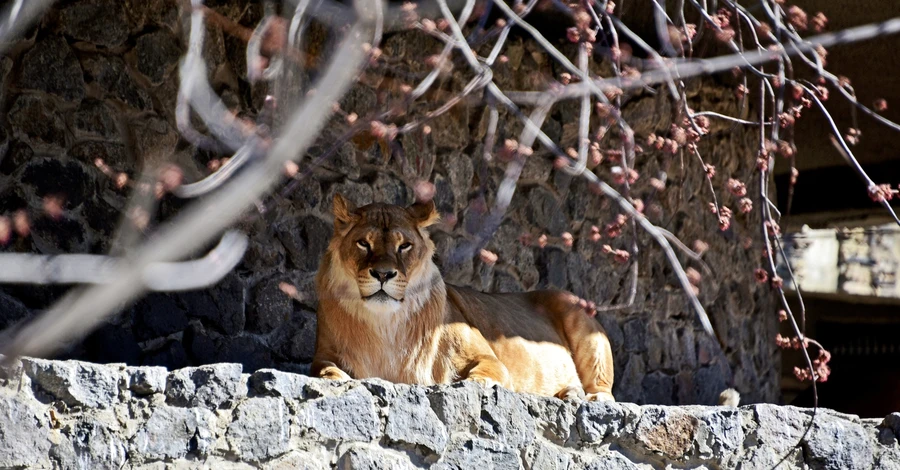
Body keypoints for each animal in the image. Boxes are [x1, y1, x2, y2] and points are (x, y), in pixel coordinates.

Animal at [312, 193, 616, 398]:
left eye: (404, 246)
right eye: (363, 243)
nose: (384, 274)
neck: (385, 324)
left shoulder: (491, 360)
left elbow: (482, 375)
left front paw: (469, 383)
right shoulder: (323, 353)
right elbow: (323, 369)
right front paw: (336, 377)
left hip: (578, 317)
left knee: (605, 392)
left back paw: (580, 396)